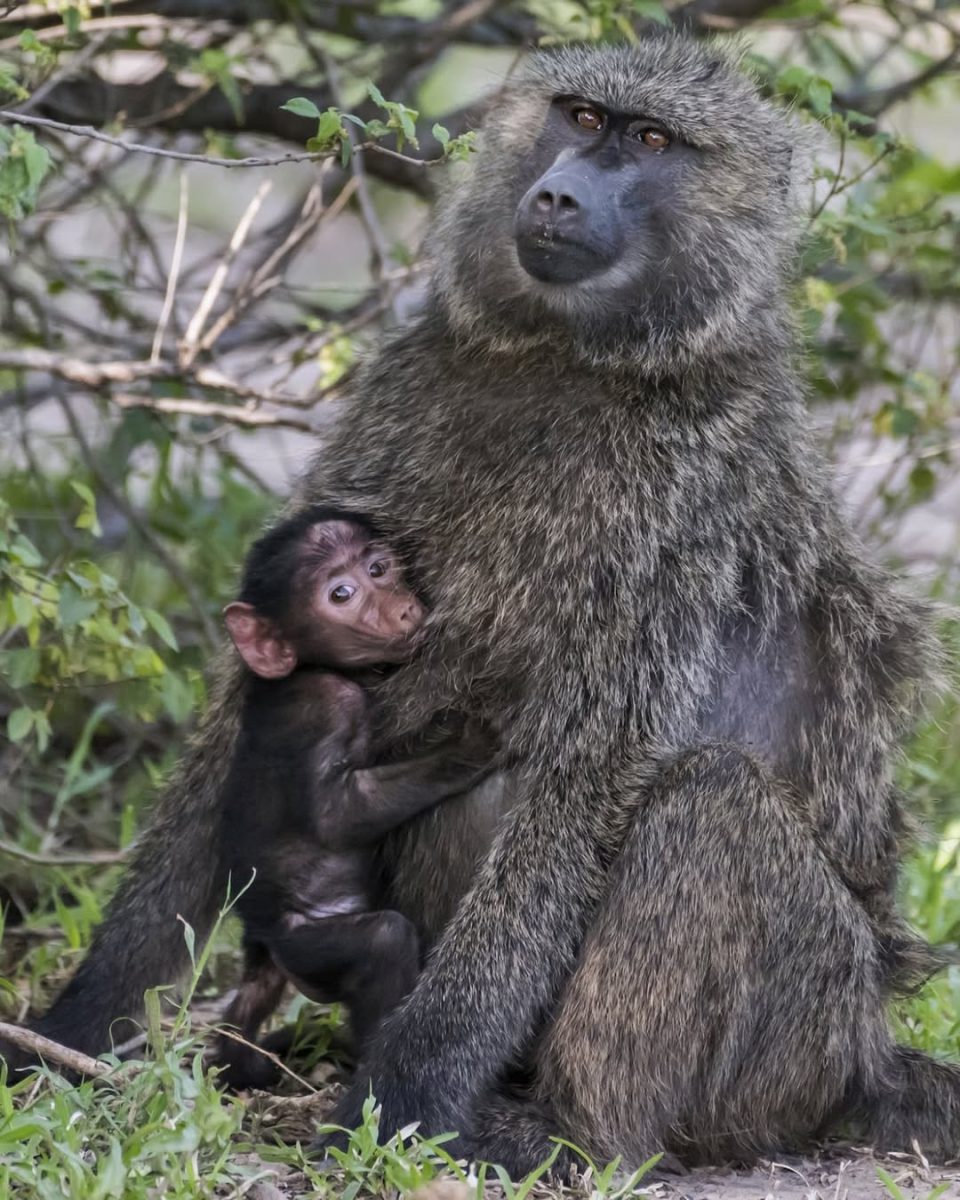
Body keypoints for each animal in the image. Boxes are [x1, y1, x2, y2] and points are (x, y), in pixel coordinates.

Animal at [209, 506, 496, 1090]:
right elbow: (339, 817)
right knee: (382, 941)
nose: (404, 608)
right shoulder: (325, 706)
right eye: (341, 594)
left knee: (251, 998)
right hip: (308, 943)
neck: (309, 667)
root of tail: (269, 938)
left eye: (379, 568)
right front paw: (464, 746)